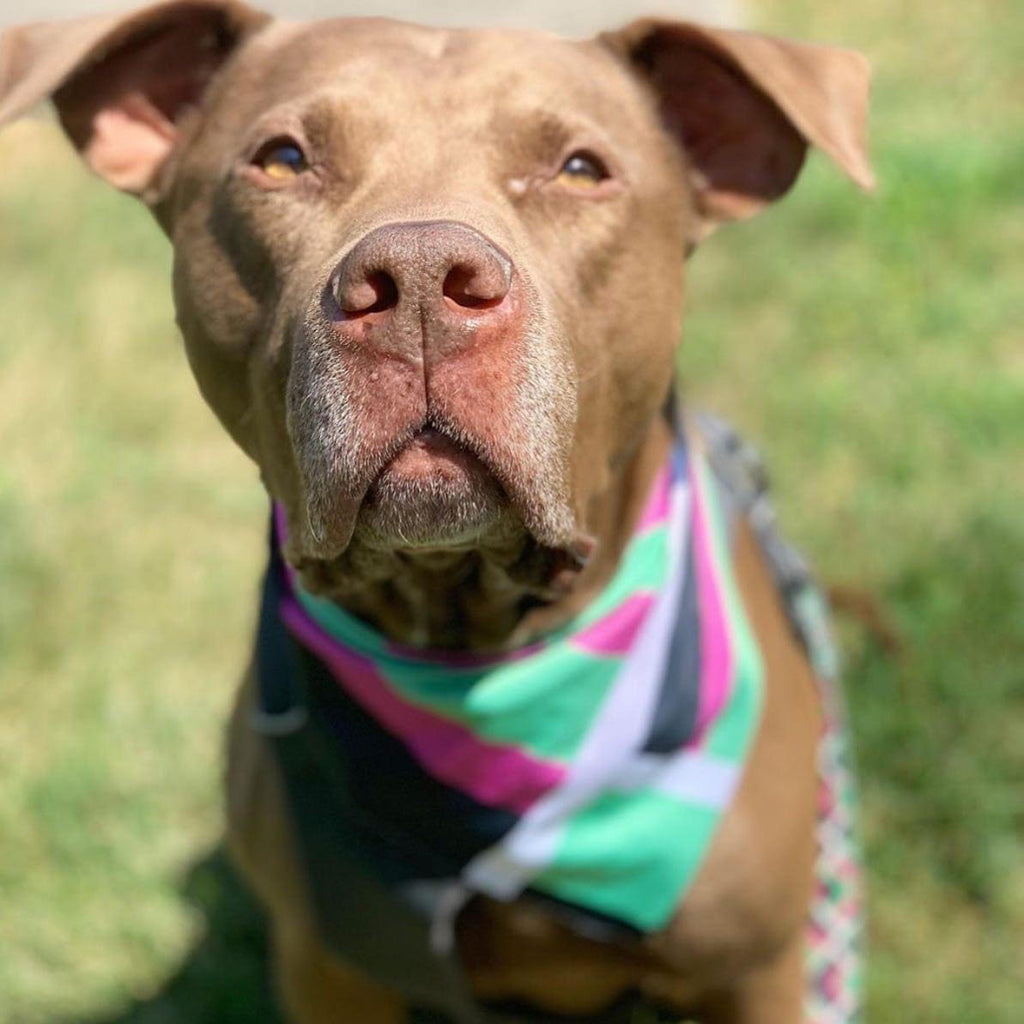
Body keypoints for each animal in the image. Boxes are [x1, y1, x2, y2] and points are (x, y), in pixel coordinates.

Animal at [0, 4, 872, 1019]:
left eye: (581, 169)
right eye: (283, 160)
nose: (418, 277)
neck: (471, 650)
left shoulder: (762, 971)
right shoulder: (327, 962)